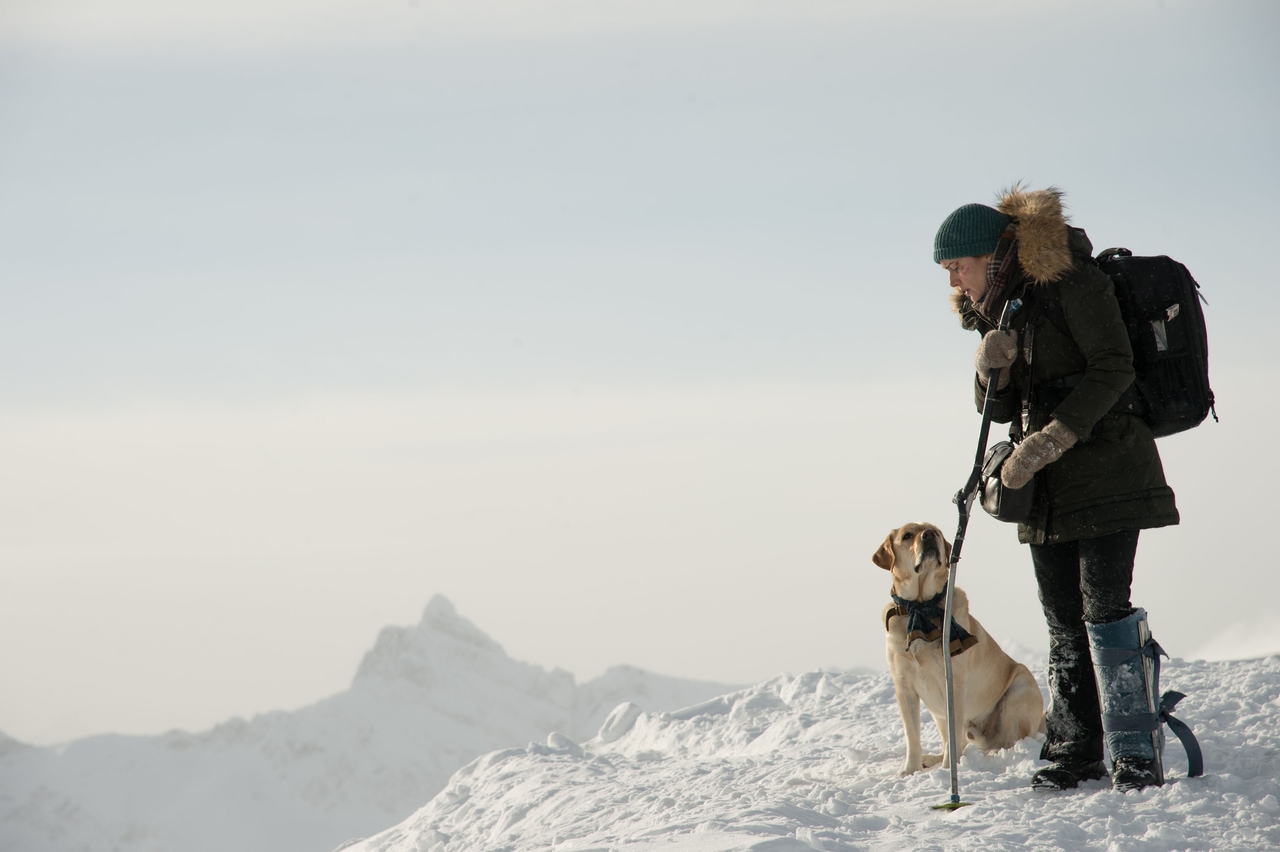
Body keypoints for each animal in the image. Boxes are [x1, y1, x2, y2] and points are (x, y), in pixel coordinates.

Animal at [870, 521, 1039, 772]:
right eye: (907, 535)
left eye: (936, 531)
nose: (930, 535)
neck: (920, 608)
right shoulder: (904, 687)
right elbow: (912, 736)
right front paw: (910, 770)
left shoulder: (954, 683)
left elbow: (953, 733)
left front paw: (949, 769)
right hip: (939, 714)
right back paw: (931, 759)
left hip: (1019, 689)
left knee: (1009, 740)